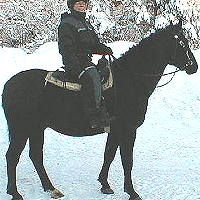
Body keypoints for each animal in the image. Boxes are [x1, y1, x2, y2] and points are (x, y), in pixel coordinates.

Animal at [1, 21, 198, 199]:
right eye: (182, 43)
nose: (194, 67)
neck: (130, 80)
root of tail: (9, 85)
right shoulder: (128, 130)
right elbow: (127, 160)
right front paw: (132, 192)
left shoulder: (116, 130)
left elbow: (109, 154)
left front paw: (104, 184)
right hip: (22, 129)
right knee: (12, 156)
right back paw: (15, 192)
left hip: (36, 128)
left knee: (35, 156)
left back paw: (51, 188)